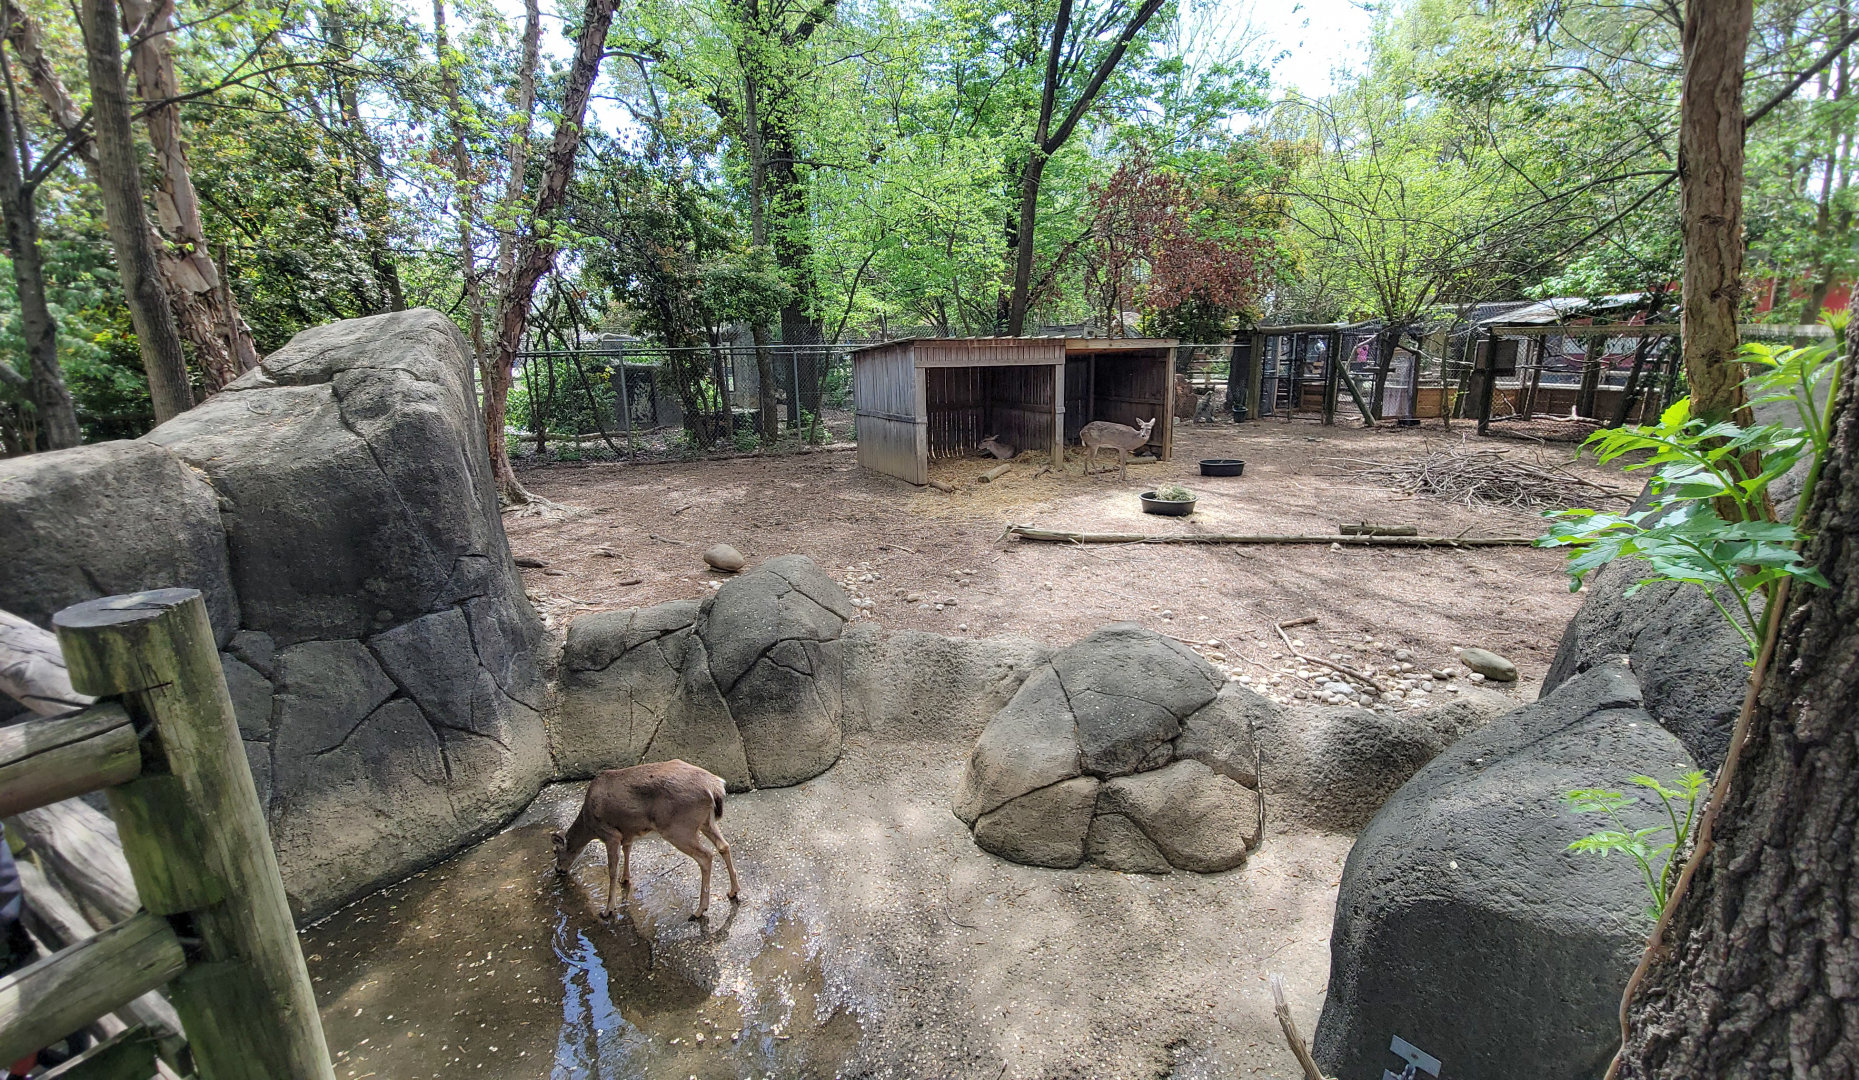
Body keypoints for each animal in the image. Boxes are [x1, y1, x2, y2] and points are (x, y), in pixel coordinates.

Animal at [551, 759, 742, 920]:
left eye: (555, 851)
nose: (557, 869)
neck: (588, 822)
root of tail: (715, 787)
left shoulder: (610, 834)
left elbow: (612, 870)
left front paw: (607, 910)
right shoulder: (627, 833)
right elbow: (627, 850)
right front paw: (625, 878)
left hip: (678, 828)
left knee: (706, 856)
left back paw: (699, 910)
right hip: (705, 822)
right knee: (723, 845)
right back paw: (733, 891)